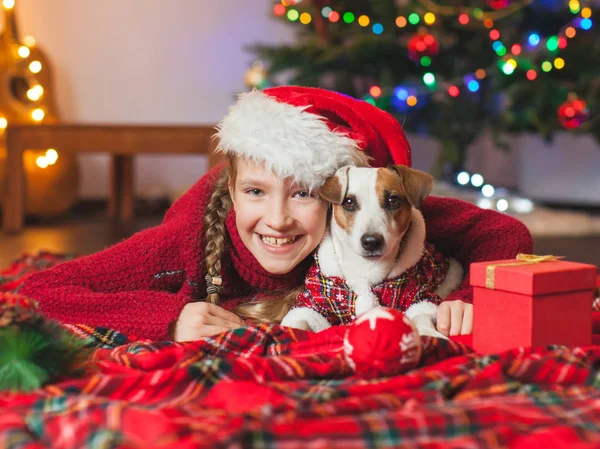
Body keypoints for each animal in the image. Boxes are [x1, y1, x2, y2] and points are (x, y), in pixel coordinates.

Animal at [282, 164, 464, 336]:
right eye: (349, 202)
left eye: (393, 200)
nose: (371, 242)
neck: (368, 269)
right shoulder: (313, 304)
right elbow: (299, 321)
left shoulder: (419, 297)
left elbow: (421, 316)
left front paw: (431, 334)